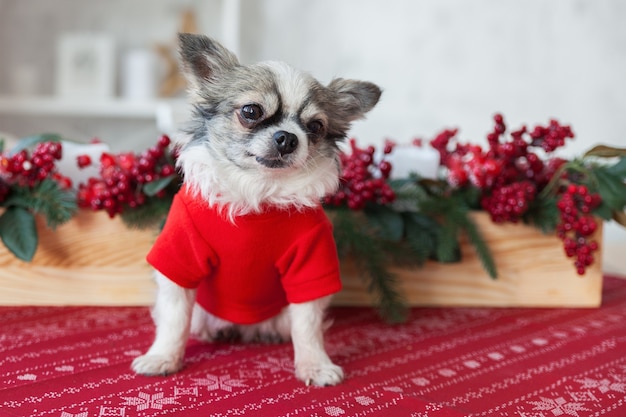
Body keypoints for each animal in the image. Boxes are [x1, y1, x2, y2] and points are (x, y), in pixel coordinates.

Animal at [132, 33, 380, 386]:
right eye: (251, 111)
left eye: (316, 127)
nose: (288, 138)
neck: (258, 192)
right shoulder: (181, 260)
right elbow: (174, 319)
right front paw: (163, 357)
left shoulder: (309, 265)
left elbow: (307, 328)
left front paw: (315, 365)